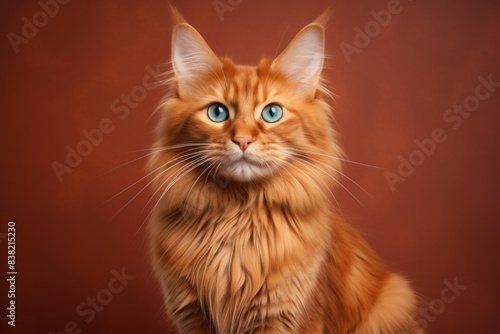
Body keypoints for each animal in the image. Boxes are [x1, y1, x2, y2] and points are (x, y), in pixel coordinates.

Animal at [146, 7, 424, 334]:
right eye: (217, 112)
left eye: (272, 113)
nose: (242, 140)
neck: (237, 219)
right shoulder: (190, 314)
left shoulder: (285, 315)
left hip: (393, 299)